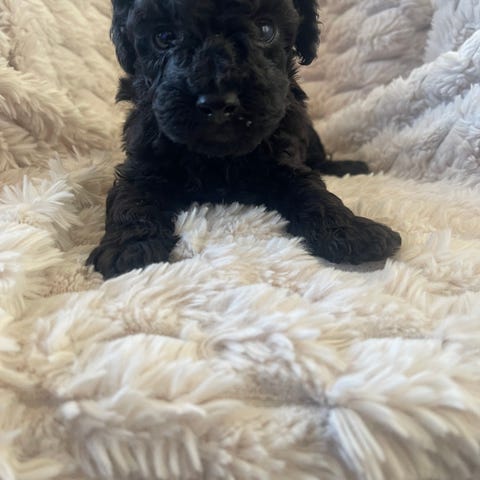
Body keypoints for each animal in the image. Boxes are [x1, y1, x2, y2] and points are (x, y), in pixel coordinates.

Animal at [88, 0, 401, 279]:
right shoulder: (144, 161)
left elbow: (312, 189)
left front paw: (351, 230)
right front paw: (130, 245)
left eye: (265, 30)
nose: (217, 102)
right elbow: (131, 198)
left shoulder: (284, 156)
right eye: (164, 37)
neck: (217, 158)